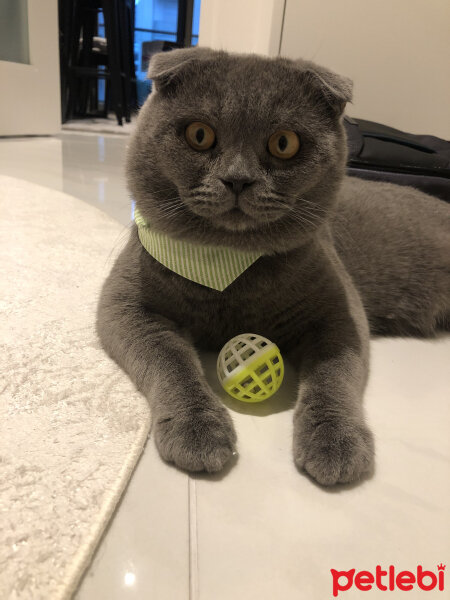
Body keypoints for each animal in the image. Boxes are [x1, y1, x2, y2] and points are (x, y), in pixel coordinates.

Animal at [96, 48, 450, 488]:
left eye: (284, 143)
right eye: (199, 134)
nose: (237, 179)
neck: (227, 269)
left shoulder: (341, 314)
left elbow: (334, 374)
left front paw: (335, 441)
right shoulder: (125, 304)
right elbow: (170, 358)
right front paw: (197, 430)